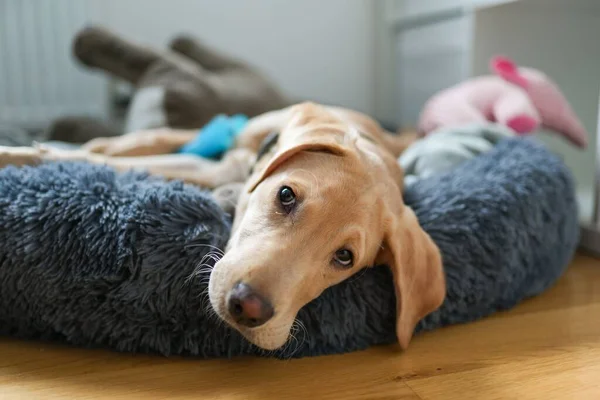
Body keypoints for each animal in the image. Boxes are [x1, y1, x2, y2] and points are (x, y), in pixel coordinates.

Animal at [0, 102, 446, 350]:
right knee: (164, 135)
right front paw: (21, 154)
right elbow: (107, 155)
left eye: (344, 257)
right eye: (286, 195)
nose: (247, 309)